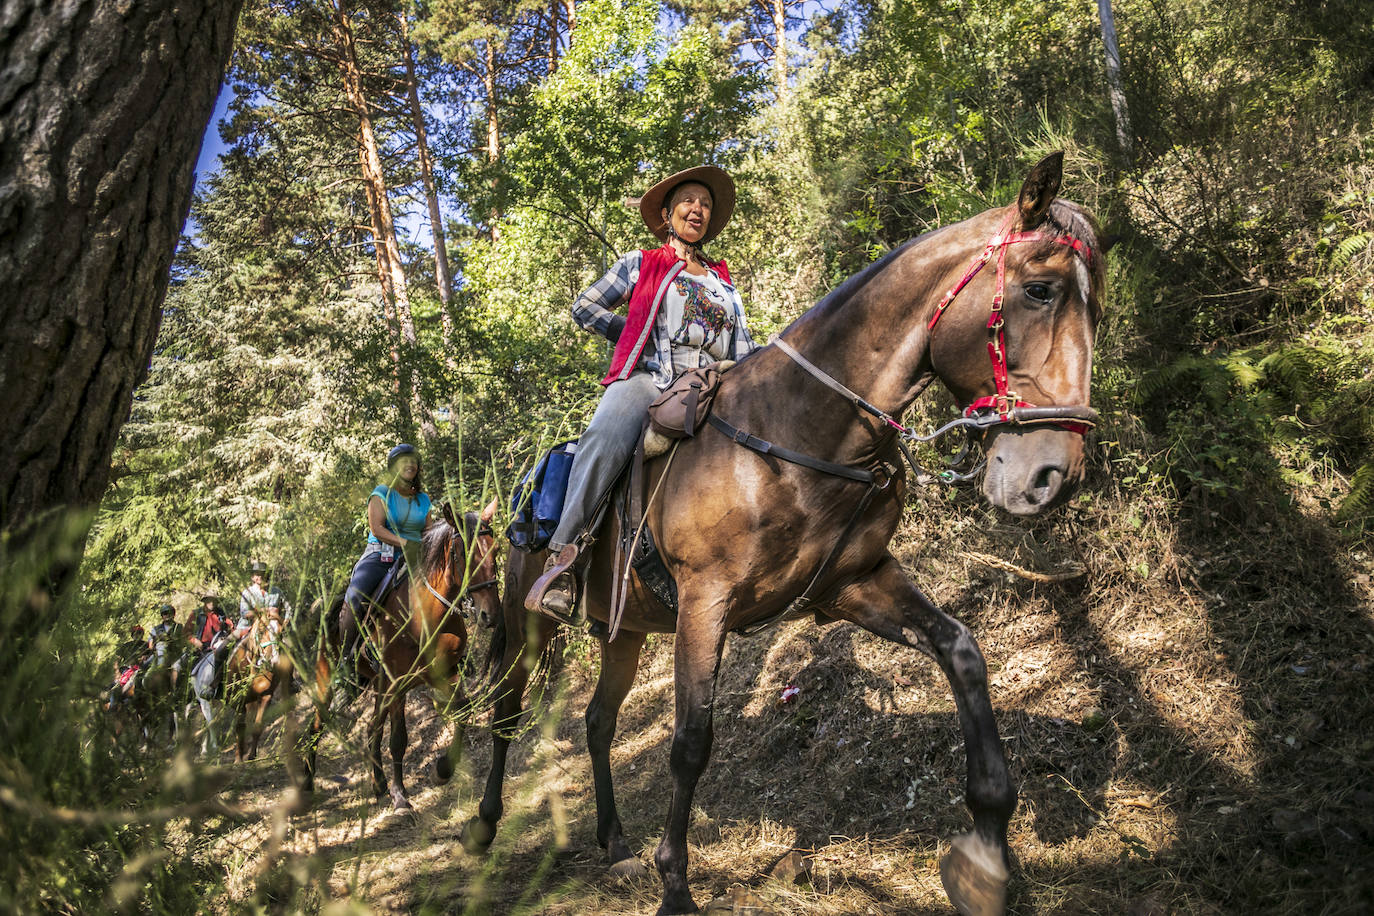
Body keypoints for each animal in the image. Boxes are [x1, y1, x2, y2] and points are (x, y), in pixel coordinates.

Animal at [298, 502, 502, 807]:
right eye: (464, 552)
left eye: (496, 549)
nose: (490, 614)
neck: (424, 615)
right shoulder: (396, 683)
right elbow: (394, 738)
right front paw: (397, 793)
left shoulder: (441, 673)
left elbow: (461, 710)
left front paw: (441, 771)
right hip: (331, 678)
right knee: (318, 723)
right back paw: (308, 782)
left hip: (378, 684)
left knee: (373, 727)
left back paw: (377, 782)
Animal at [461, 153, 1104, 911]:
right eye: (1039, 289)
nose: (1052, 475)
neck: (795, 431)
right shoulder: (704, 602)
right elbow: (691, 739)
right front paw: (675, 885)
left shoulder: (856, 581)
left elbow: (962, 650)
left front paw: (985, 854)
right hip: (529, 623)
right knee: (506, 712)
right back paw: (484, 827)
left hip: (623, 629)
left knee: (597, 721)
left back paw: (614, 841)